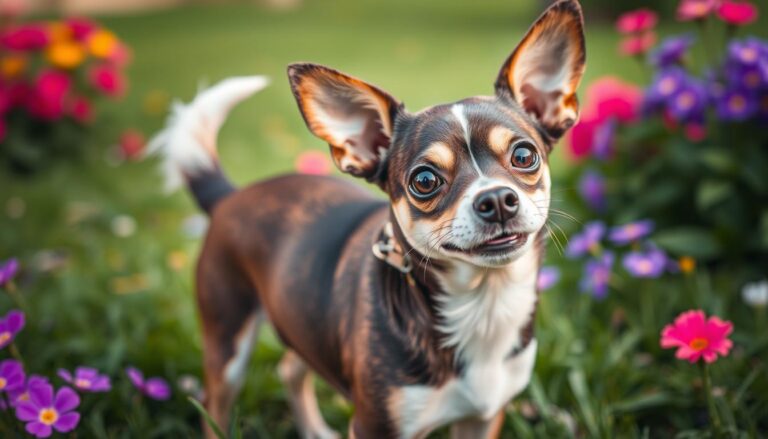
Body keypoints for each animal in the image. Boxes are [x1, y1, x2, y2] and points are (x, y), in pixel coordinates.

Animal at [148, 1, 584, 438]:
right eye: (425, 180)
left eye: (524, 156)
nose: (495, 199)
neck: (484, 303)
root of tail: (230, 196)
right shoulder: (377, 424)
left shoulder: (482, 418)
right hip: (228, 342)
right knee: (215, 405)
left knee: (290, 368)